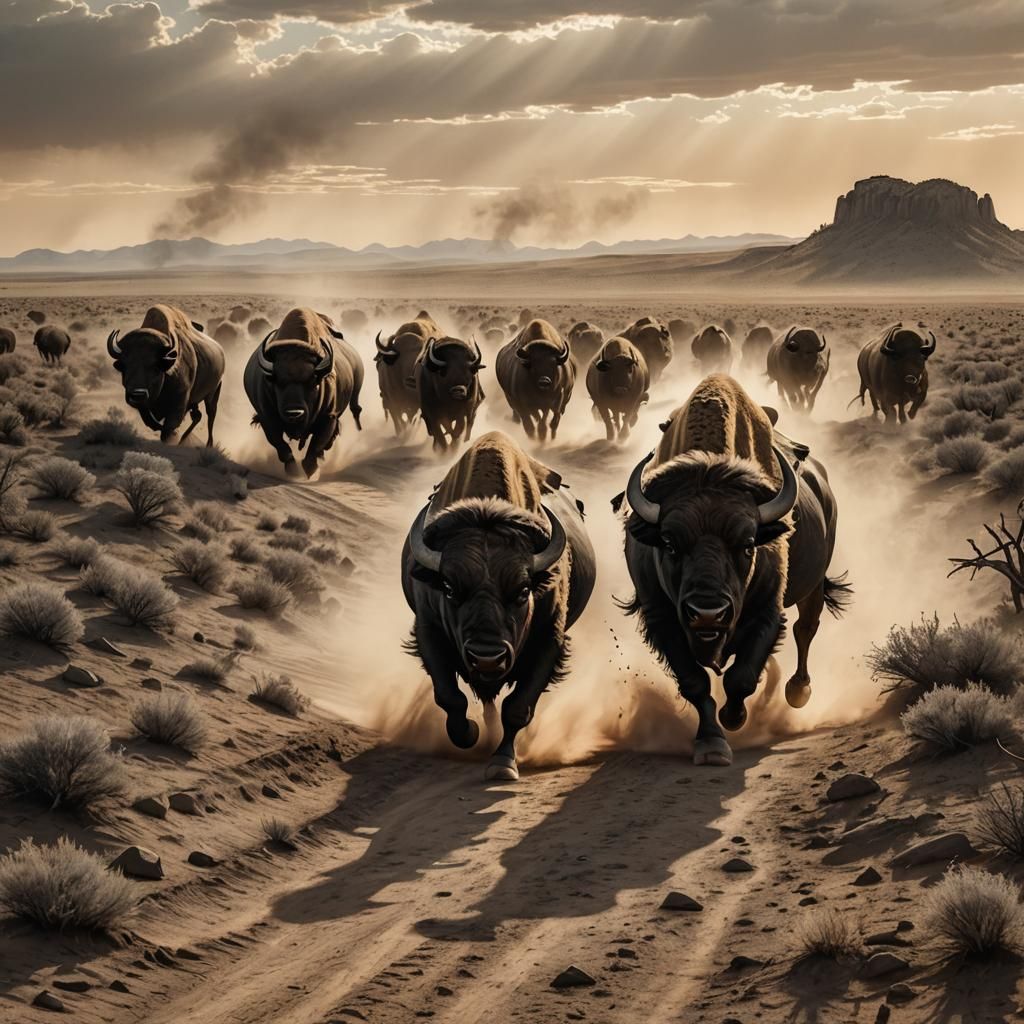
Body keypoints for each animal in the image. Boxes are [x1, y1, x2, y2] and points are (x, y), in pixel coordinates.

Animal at [107, 305, 225, 445]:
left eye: (156, 368)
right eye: (124, 367)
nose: (137, 394)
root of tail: (220, 350)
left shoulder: (179, 404)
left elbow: (168, 428)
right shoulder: (145, 407)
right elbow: (153, 423)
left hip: (213, 392)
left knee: (210, 415)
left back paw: (208, 444)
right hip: (196, 400)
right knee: (198, 416)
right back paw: (183, 440)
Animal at [244, 308, 363, 479]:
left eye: (313, 382)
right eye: (276, 382)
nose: (294, 413)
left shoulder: (329, 417)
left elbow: (315, 446)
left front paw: (309, 470)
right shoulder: (267, 418)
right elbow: (281, 446)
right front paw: (293, 471)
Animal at [401, 431, 596, 781]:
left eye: (523, 590)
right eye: (448, 588)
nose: (487, 658)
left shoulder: (549, 641)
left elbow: (518, 708)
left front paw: (503, 763)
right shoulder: (429, 633)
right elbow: (449, 697)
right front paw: (470, 734)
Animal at [619, 374, 850, 767]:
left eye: (748, 543)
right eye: (668, 544)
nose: (707, 613)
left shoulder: (767, 613)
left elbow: (741, 677)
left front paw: (734, 717)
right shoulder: (661, 618)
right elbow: (695, 681)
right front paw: (712, 743)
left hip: (814, 585)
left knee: (806, 629)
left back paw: (797, 691)